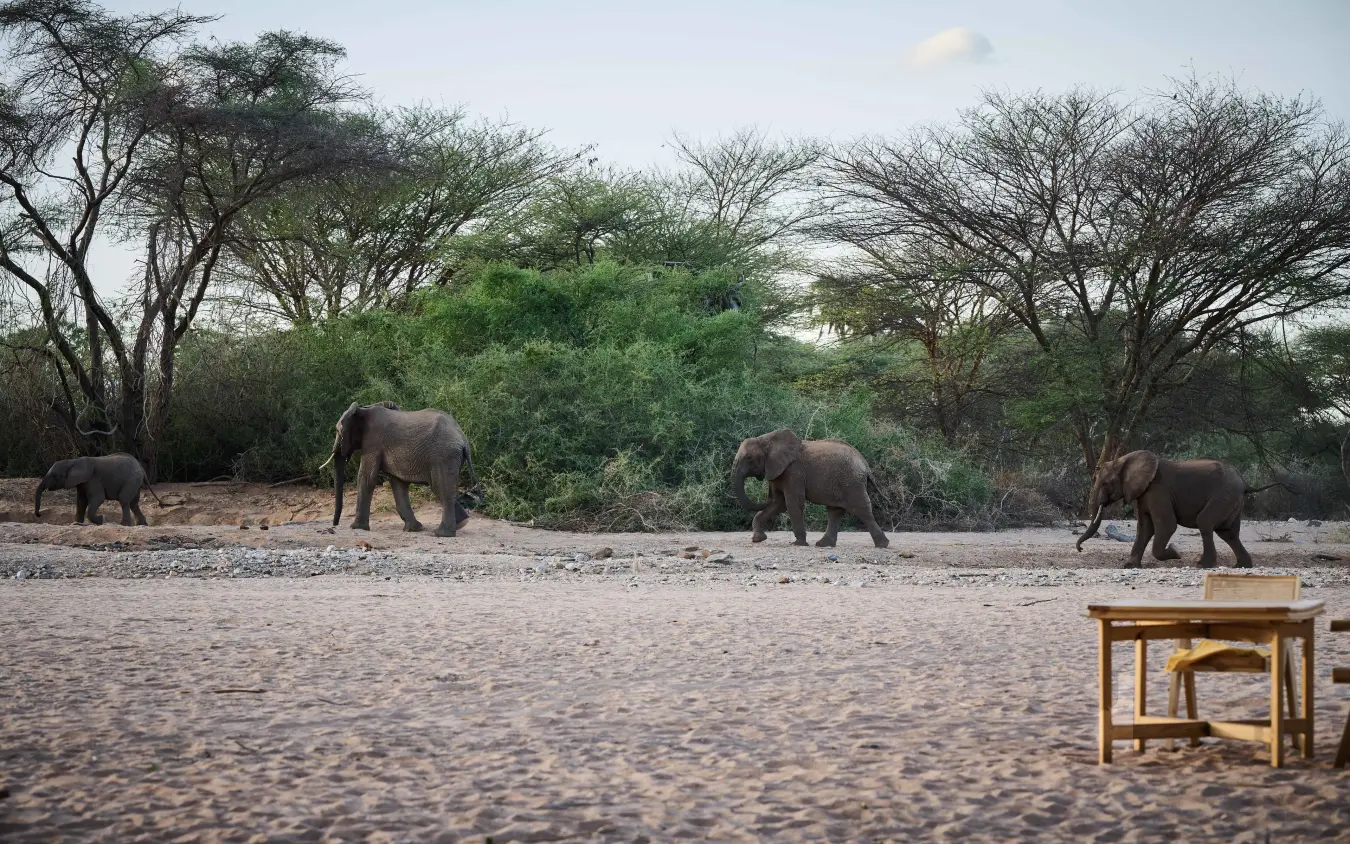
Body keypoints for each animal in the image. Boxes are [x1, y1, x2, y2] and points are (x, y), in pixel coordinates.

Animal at [34, 453, 162, 526]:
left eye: (55, 475)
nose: (39, 515)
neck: (73, 461)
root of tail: (140, 466)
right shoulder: (83, 482)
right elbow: (81, 502)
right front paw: (77, 523)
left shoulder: (92, 478)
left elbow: (98, 498)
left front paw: (101, 520)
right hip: (135, 481)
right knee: (133, 503)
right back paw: (142, 524)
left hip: (132, 480)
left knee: (124, 500)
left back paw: (124, 525)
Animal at [330, 401, 481, 537]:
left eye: (338, 431)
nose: (334, 525)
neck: (363, 409)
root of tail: (463, 440)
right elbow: (398, 483)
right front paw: (414, 529)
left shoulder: (373, 443)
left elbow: (367, 478)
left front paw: (357, 528)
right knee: (442, 488)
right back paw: (461, 524)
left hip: (443, 456)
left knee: (441, 488)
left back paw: (442, 534)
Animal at [731, 428, 889, 548]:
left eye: (749, 458)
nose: (765, 497)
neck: (766, 439)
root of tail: (864, 463)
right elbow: (778, 504)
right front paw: (758, 539)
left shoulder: (793, 472)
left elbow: (792, 504)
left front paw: (798, 544)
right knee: (834, 511)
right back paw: (823, 544)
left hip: (851, 481)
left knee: (860, 508)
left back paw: (882, 545)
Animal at [1075, 450, 1277, 568]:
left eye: (1105, 483)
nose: (1080, 549)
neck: (1125, 459)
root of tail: (1244, 482)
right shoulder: (1143, 493)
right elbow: (1145, 528)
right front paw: (1129, 566)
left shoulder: (1158, 490)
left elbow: (1166, 526)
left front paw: (1175, 552)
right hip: (1232, 499)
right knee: (1228, 532)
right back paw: (1241, 566)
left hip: (1224, 495)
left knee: (1205, 523)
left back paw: (1202, 564)